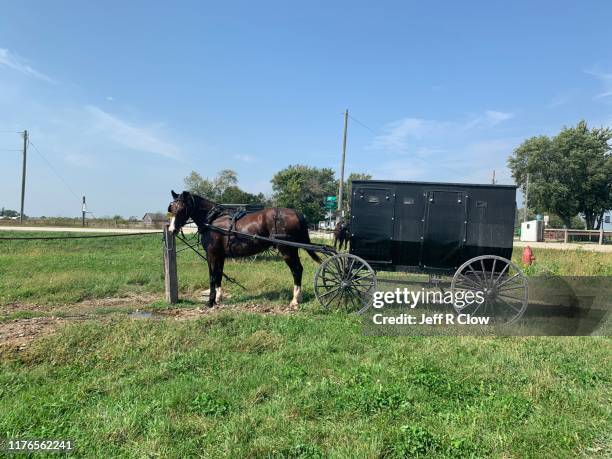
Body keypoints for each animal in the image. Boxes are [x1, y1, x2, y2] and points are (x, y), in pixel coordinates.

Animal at [167, 190, 320, 310]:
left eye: (181, 209)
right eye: (171, 209)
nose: (171, 230)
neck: (212, 221)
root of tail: (296, 213)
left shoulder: (212, 254)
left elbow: (212, 277)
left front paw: (210, 302)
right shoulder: (220, 255)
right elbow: (219, 275)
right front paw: (218, 298)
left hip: (287, 250)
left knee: (296, 270)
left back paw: (295, 300)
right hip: (292, 250)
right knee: (299, 269)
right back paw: (298, 298)